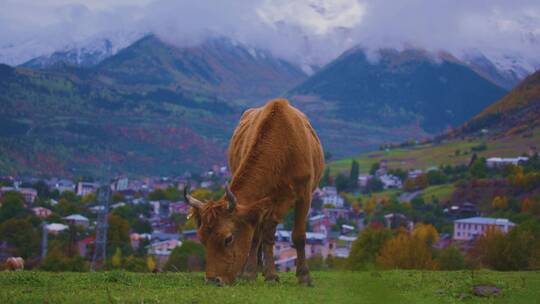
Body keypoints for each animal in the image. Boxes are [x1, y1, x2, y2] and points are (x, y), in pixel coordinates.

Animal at [186, 98, 322, 284]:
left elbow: (298, 236)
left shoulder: (304, 195)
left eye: (228, 239)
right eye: (201, 238)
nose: (213, 280)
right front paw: (251, 273)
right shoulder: (258, 204)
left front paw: (304, 276)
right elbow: (256, 237)